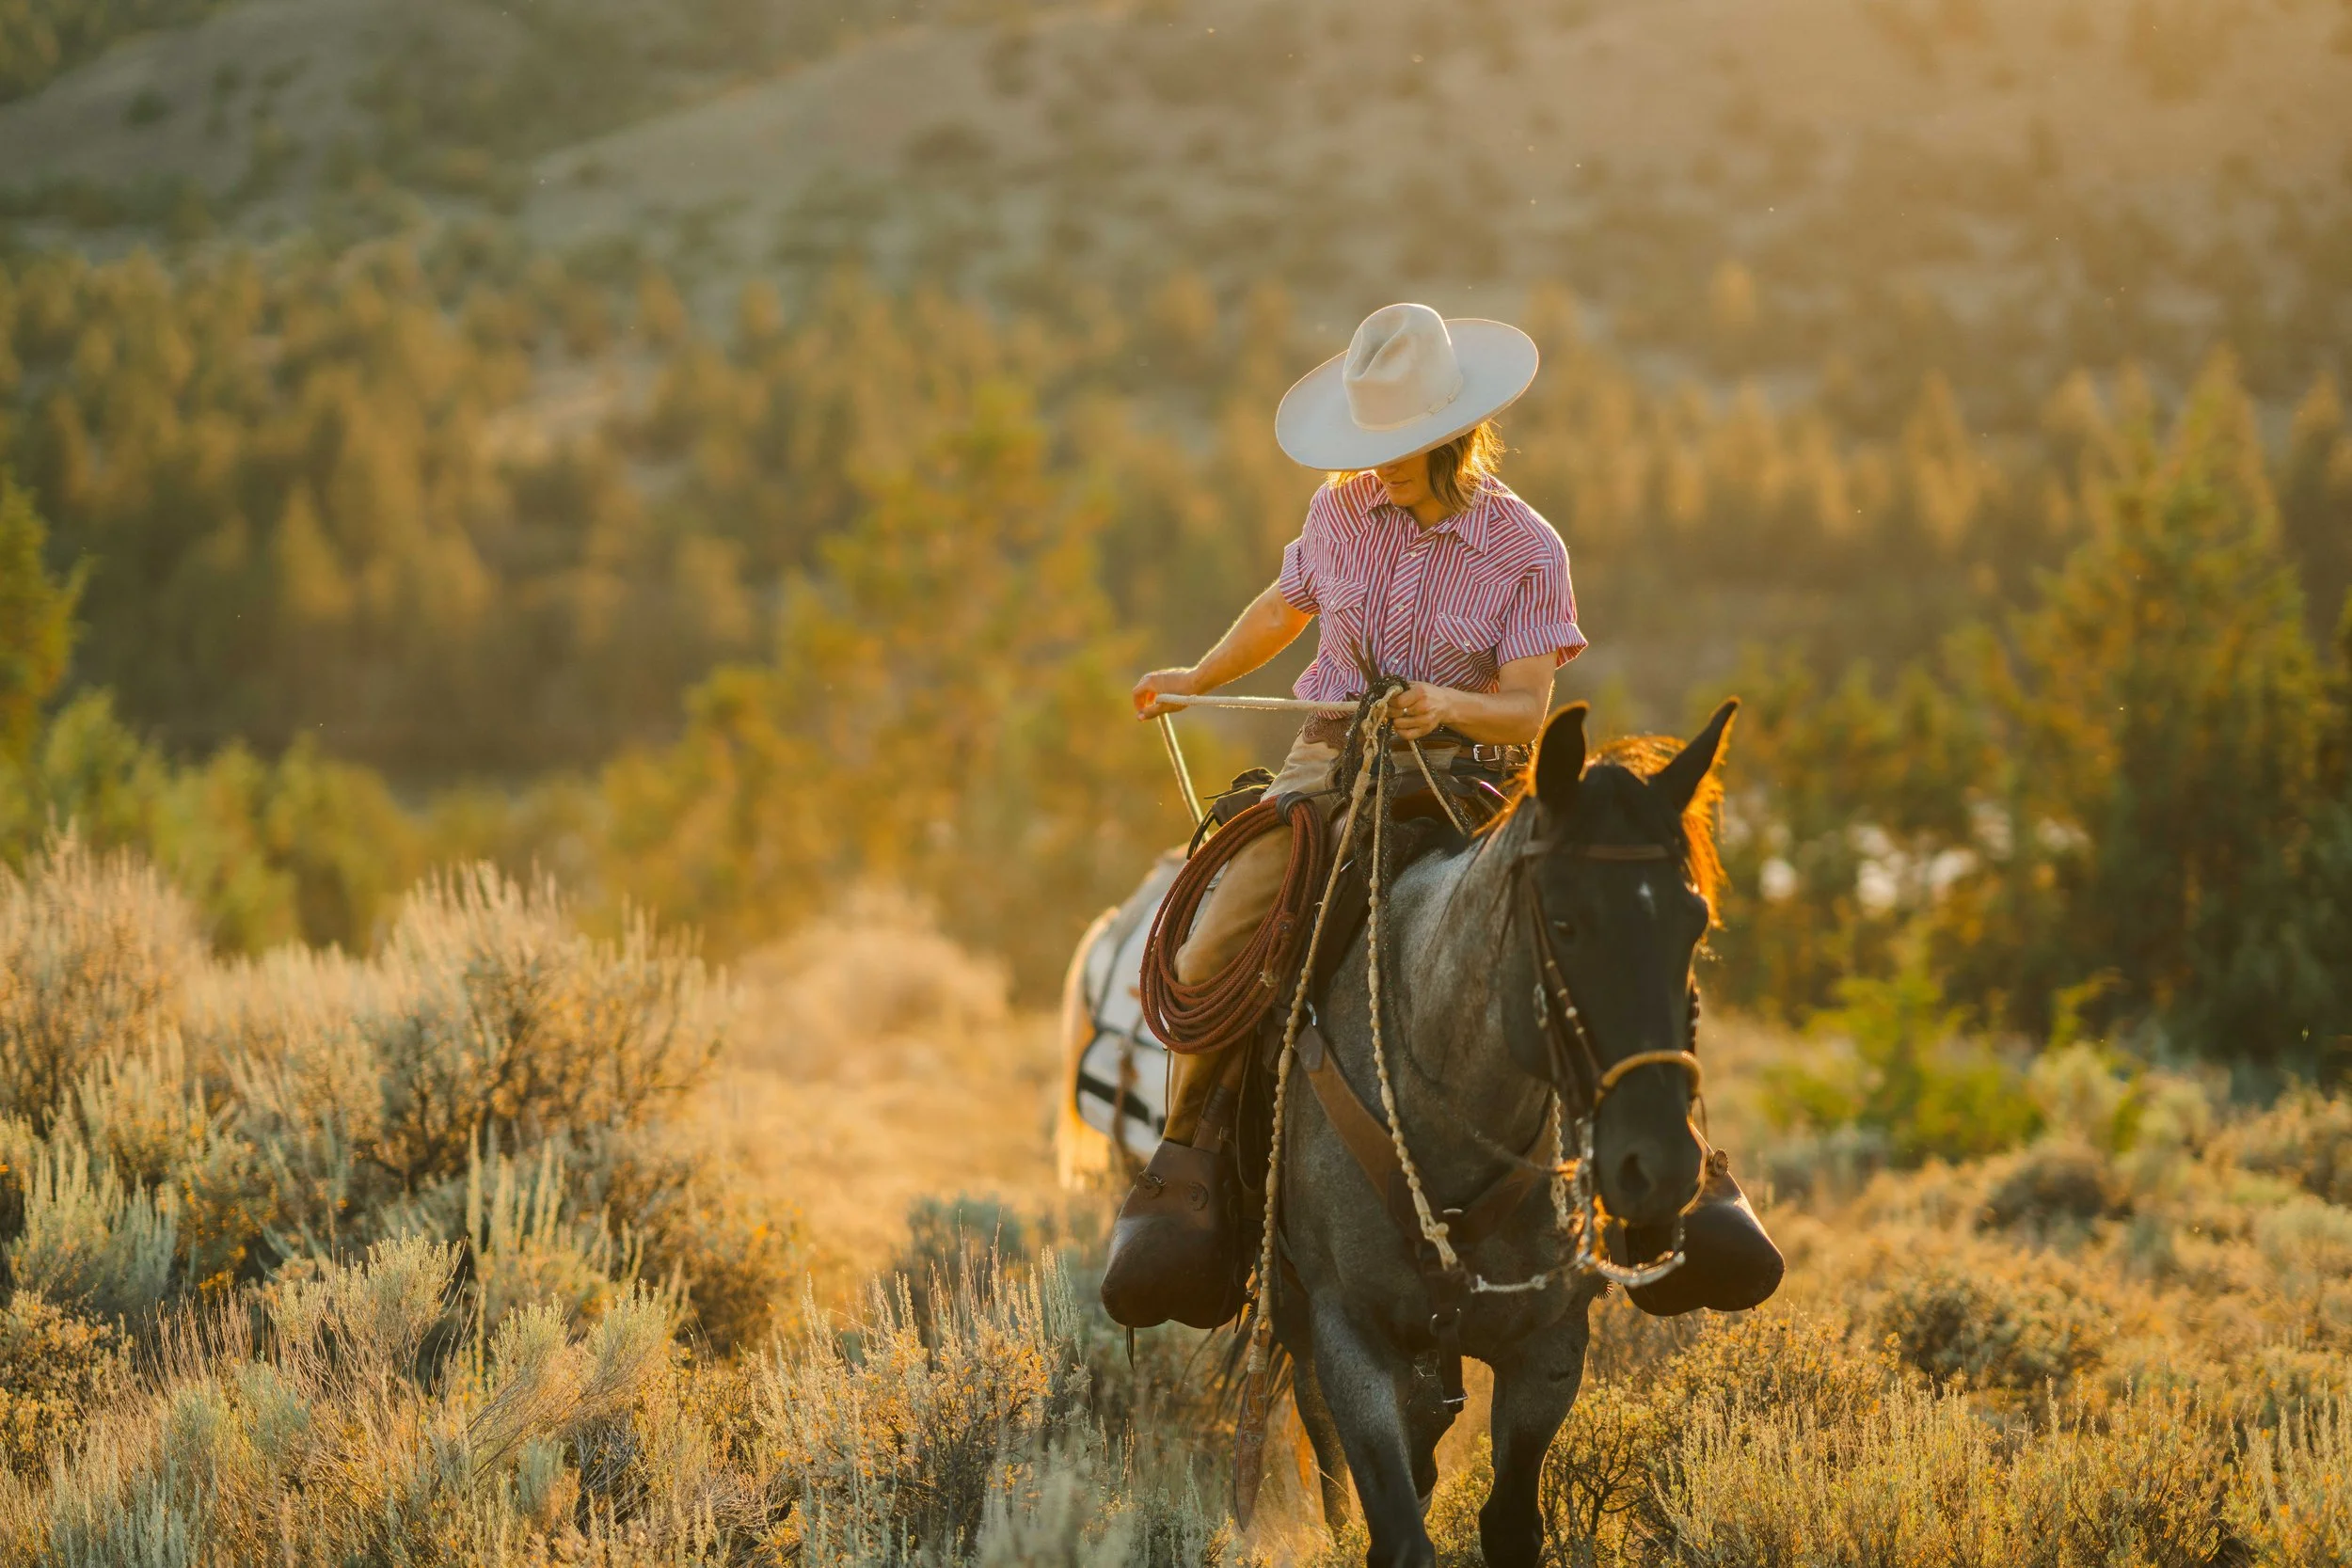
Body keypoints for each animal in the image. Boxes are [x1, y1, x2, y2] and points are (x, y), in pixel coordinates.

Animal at [1271, 696, 1736, 1568]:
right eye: (1564, 919)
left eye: (1694, 920)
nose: (1659, 1164)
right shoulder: (1349, 1335)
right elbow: (1396, 1525)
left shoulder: (1548, 1344)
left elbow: (1512, 1521)